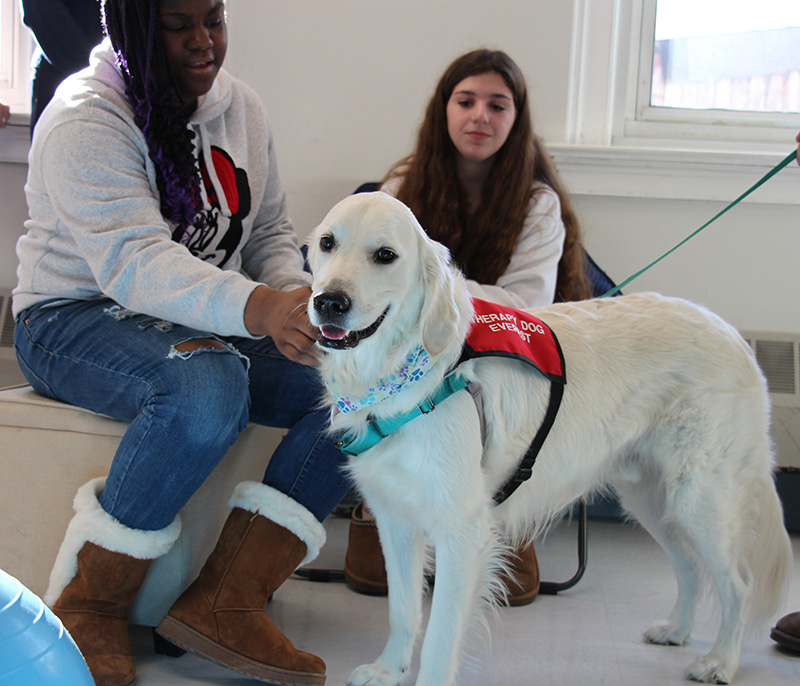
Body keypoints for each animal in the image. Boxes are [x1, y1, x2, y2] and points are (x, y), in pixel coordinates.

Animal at [308, 192, 792, 686]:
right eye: (327, 243)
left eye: (385, 255)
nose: (329, 302)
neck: (404, 373)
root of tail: (731, 333)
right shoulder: (395, 520)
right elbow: (403, 611)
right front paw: (388, 670)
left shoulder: (462, 532)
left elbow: (441, 639)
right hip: (652, 499)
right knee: (691, 567)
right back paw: (677, 630)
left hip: (700, 500)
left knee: (739, 584)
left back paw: (722, 660)